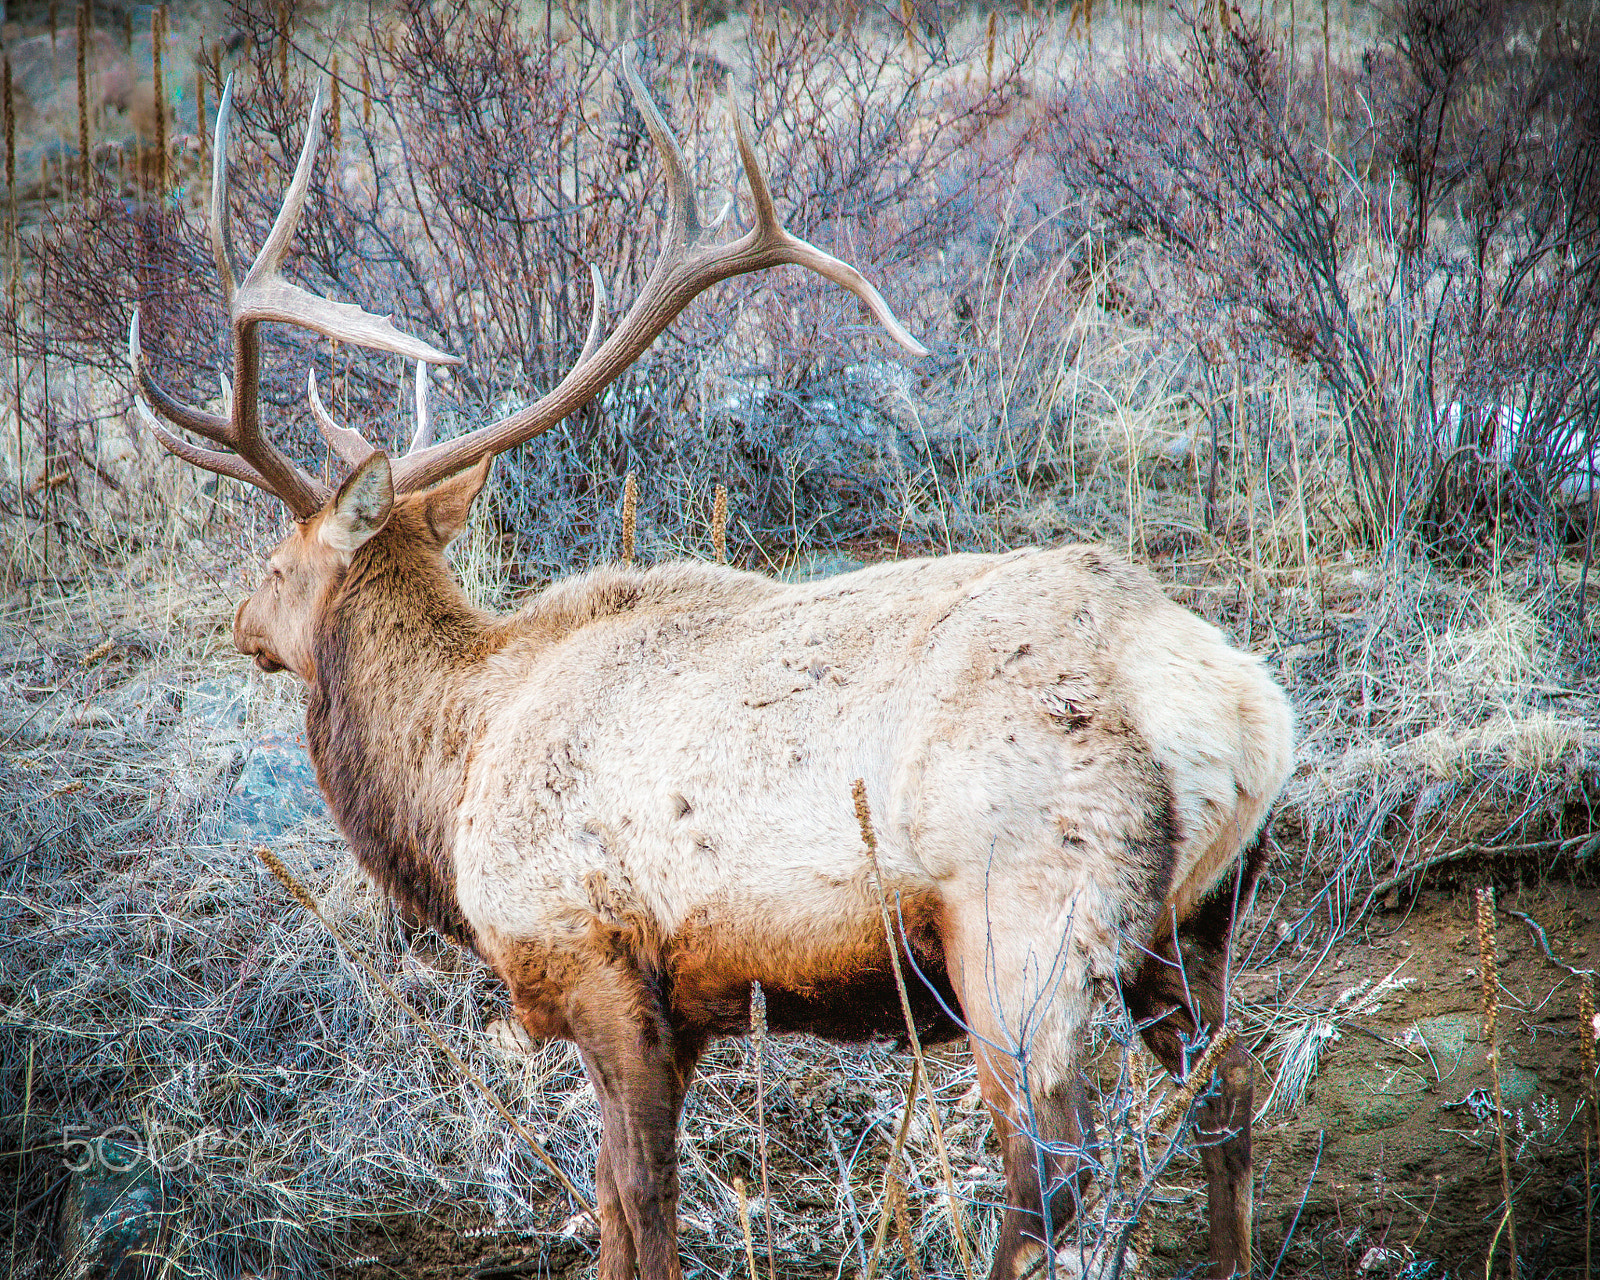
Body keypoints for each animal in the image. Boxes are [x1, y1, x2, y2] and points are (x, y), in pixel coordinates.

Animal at [129, 58, 1293, 1280]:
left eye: (273, 560)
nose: (239, 622)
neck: (453, 775)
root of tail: (1238, 709)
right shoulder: (678, 1008)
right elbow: (613, 1202)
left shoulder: (591, 958)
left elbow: (638, 1198)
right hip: (1191, 919)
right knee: (1230, 1091)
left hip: (1024, 921)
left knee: (1054, 1181)